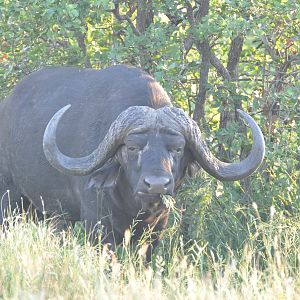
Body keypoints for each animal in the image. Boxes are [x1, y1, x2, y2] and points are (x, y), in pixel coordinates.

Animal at [0, 65, 264, 260]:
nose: (156, 184)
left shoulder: (156, 229)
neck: (133, 203)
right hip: (9, 202)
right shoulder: (98, 225)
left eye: (177, 149)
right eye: (132, 147)